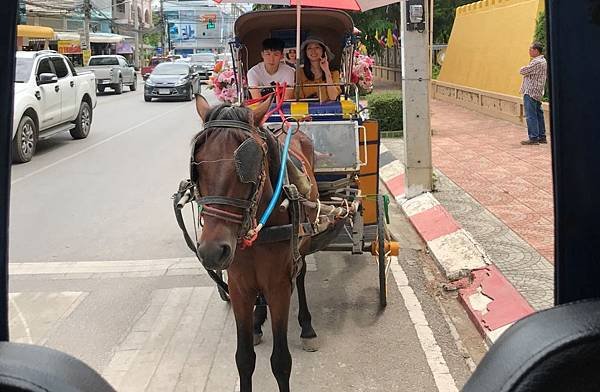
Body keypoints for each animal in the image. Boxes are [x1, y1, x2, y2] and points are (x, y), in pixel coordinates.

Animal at [195, 95, 322, 392]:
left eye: (248, 165)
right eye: (198, 165)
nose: (212, 252)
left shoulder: (279, 287)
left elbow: (281, 362)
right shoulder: (238, 287)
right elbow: (244, 358)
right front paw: (253, 325)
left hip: (302, 246)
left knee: (301, 274)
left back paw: (306, 326)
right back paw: (257, 320)